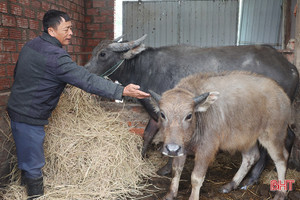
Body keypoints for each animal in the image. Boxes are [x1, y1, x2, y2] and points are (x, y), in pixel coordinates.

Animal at [84, 34, 298, 189]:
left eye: (102, 54)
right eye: (93, 51)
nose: (86, 68)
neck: (146, 68)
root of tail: (290, 67)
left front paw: (166, 168)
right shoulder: (157, 112)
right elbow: (147, 135)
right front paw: (142, 158)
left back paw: (250, 181)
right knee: (289, 137)